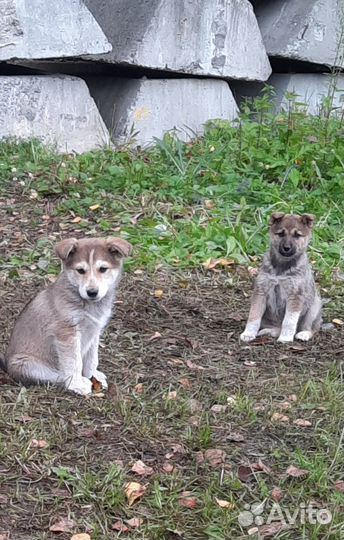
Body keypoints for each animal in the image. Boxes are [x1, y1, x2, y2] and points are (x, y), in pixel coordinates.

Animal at [2, 238, 132, 394]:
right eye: (80, 270)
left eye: (103, 269)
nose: (92, 292)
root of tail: (7, 366)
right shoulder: (66, 333)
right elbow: (74, 362)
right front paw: (78, 383)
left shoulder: (94, 330)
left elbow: (92, 358)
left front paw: (93, 376)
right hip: (26, 363)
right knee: (57, 375)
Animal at [241, 213, 322, 344]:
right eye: (281, 234)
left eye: (297, 235)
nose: (286, 247)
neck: (281, 267)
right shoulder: (261, 291)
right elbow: (254, 316)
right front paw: (248, 334)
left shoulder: (295, 295)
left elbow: (289, 321)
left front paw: (285, 338)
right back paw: (269, 331)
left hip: (314, 307)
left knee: (313, 328)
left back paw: (304, 334)